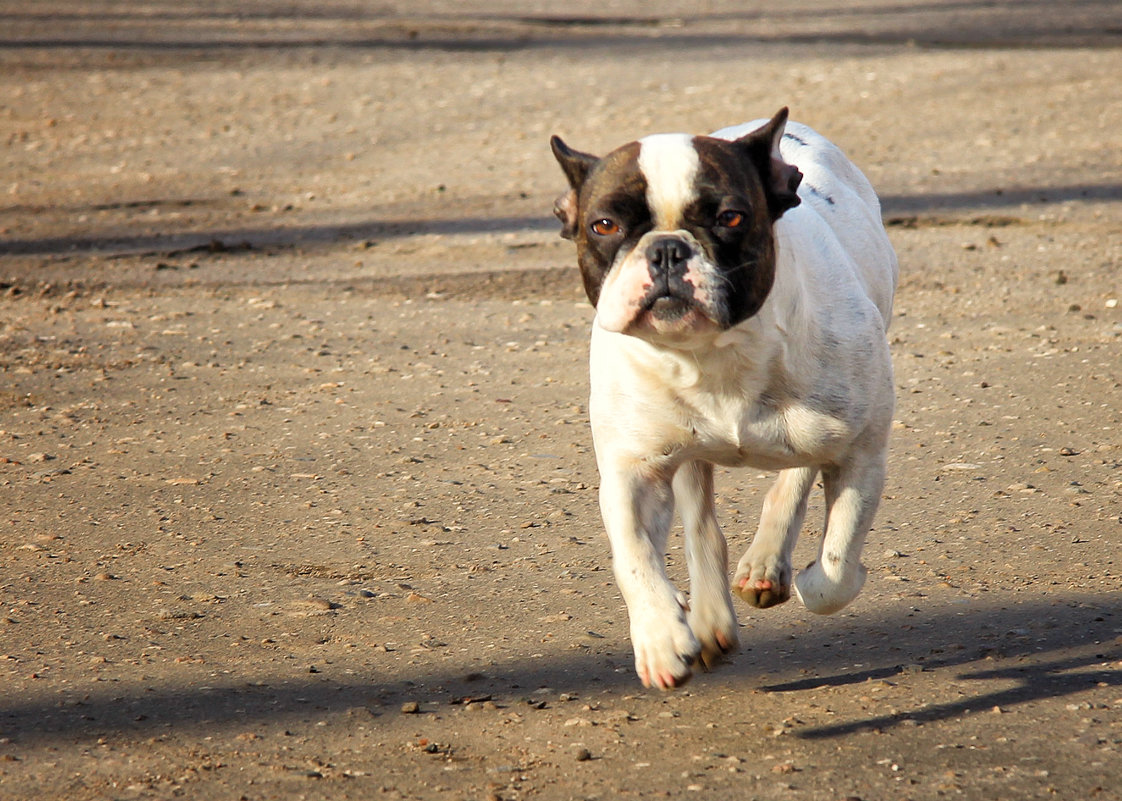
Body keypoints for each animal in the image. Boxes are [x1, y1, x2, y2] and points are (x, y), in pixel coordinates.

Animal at [547, 107, 897, 686]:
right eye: (604, 225)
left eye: (730, 218)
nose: (667, 248)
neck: (713, 354)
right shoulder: (633, 472)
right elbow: (634, 557)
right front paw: (661, 638)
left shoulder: (860, 455)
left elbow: (840, 562)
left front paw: (812, 581)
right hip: (686, 456)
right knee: (701, 524)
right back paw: (710, 616)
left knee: (796, 476)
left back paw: (767, 562)